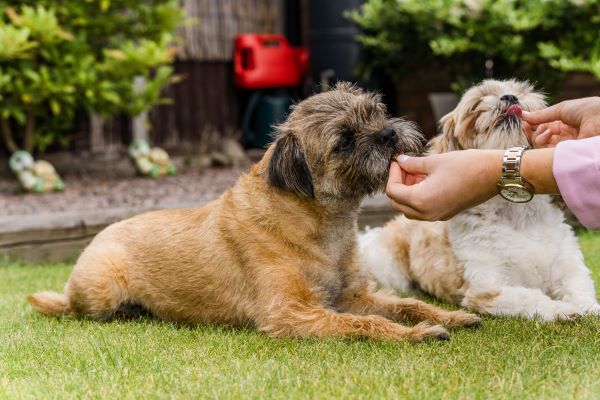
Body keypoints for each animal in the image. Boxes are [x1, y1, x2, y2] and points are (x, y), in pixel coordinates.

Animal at [28, 83, 480, 340]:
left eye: (376, 112)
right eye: (344, 141)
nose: (388, 134)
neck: (318, 222)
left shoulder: (354, 297)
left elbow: (408, 304)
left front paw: (449, 316)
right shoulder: (293, 314)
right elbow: (366, 325)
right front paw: (416, 334)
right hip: (102, 286)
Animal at [360, 79, 600, 322]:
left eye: (523, 93)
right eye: (477, 104)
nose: (510, 97)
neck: (516, 215)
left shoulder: (569, 268)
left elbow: (580, 289)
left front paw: (589, 308)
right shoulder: (488, 290)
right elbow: (530, 297)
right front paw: (562, 310)